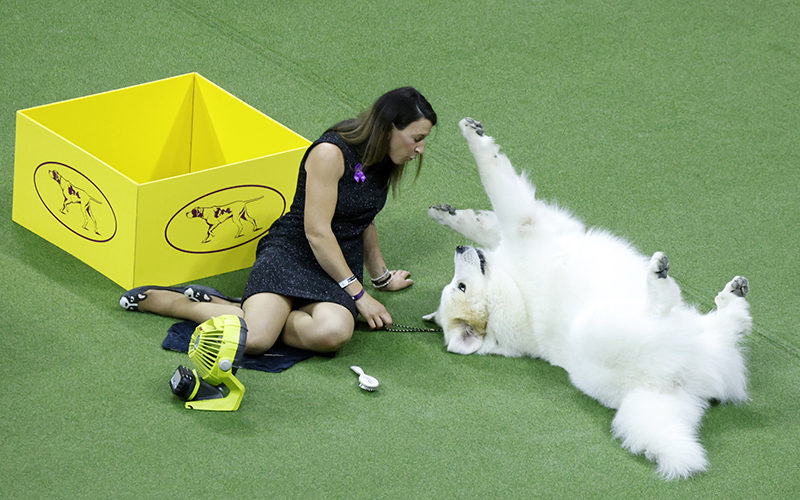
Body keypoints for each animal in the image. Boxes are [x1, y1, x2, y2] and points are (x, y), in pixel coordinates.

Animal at [428, 118, 752, 480]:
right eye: (461, 287)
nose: (459, 250)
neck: (515, 294)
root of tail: (663, 386)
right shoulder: (526, 225)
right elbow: (493, 175)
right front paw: (475, 138)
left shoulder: (530, 232)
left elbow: (487, 225)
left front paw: (448, 214)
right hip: (604, 326)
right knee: (668, 307)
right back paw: (660, 279)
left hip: (704, 341)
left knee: (731, 327)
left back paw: (731, 296)